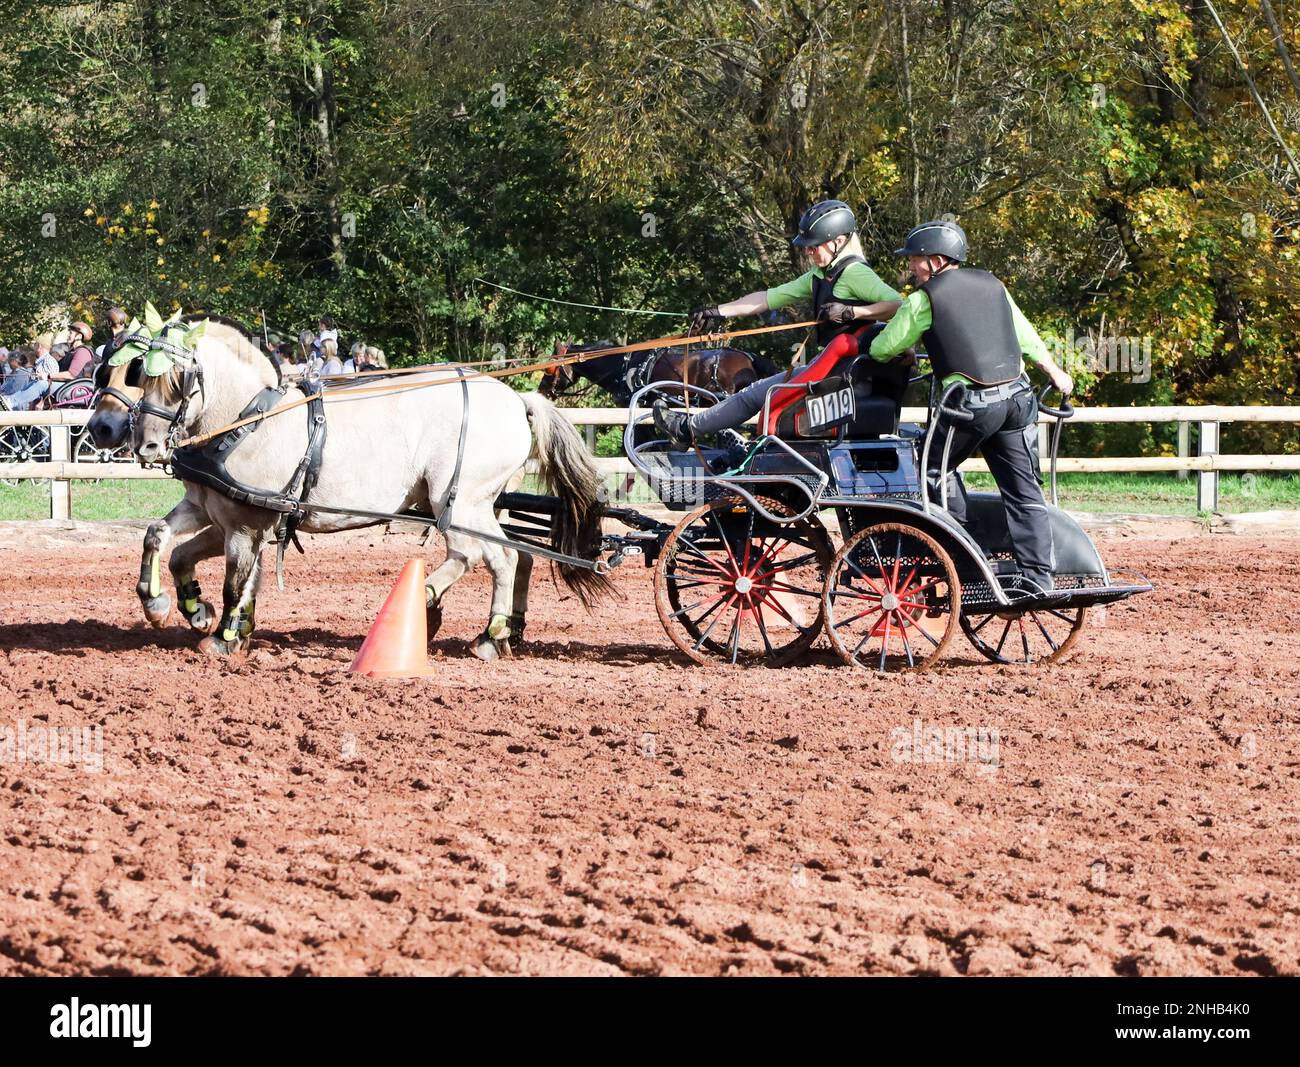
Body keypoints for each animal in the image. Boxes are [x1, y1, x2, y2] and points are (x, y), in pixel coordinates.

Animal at [131, 313, 612, 661]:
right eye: (141, 374)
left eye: (178, 377)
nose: (146, 445)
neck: (247, 420)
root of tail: (517, 400)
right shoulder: (217, 513)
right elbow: (165, 543)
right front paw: (177, 608)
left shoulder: (246, 526)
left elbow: (235, 582)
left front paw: (224, 636)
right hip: (472, 506)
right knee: (502, 554)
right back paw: (477, 620)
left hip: (462, 503)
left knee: (496, 556)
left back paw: (479, 630)